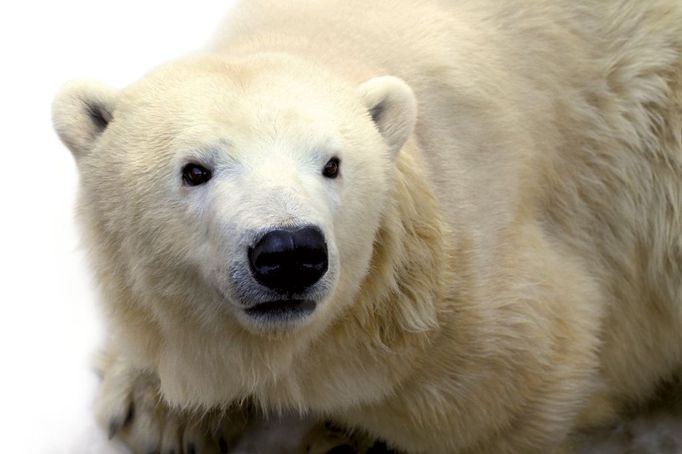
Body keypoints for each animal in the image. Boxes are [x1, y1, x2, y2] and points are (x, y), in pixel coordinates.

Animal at [51, 0, 680, 452]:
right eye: (194, 170)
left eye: (332, 163)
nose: (290, 252)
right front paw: (147, 406)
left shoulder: (489, 316)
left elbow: (513, 394)